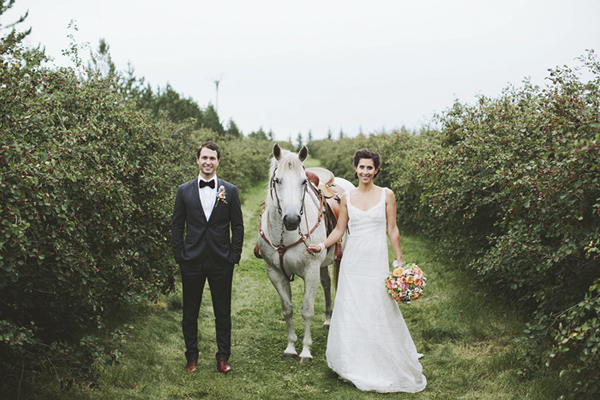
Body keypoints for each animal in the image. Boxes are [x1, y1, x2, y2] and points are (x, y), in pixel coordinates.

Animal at [256, 144, 342, 362]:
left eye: (304, 181)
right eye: (277, 180)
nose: (292, 220)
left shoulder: (310, 271)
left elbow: (307, 311)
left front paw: (305, 351)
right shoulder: (275, 273)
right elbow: (287, 310)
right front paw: (290, 347)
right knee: (327, 284)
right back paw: (328, 321)